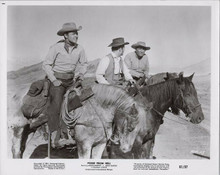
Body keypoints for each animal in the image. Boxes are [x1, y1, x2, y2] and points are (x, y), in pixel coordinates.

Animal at [9, 83, 153, 159]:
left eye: (140, 130)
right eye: (130, 127)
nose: (126, 149)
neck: (96, 112)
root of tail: (16, 94)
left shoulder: (100, 145)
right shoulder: (84, 145)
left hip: (30, 129)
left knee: (21, 149)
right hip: (18, 128)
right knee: (16, 150)